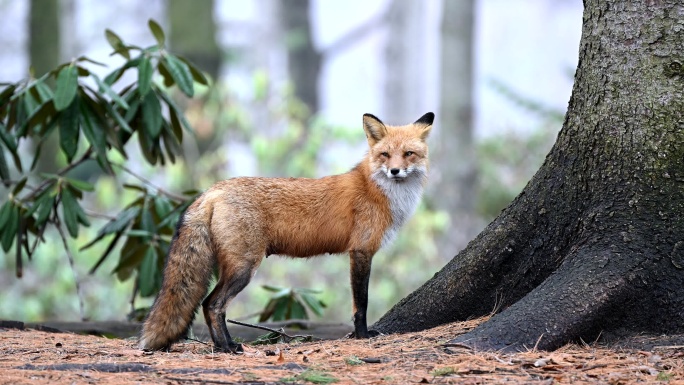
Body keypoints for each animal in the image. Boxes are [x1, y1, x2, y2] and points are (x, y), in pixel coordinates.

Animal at [140, 111, 432, 352]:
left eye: (409, 153)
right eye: (385, 155)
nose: (395, 171)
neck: (378, 191)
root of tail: (213, 190)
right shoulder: (361, 250)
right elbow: (361, 303)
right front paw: (362, 336)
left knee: (206, 304)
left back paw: (220, 347)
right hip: (244, 267)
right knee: (213, 304)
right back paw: (229, 347)